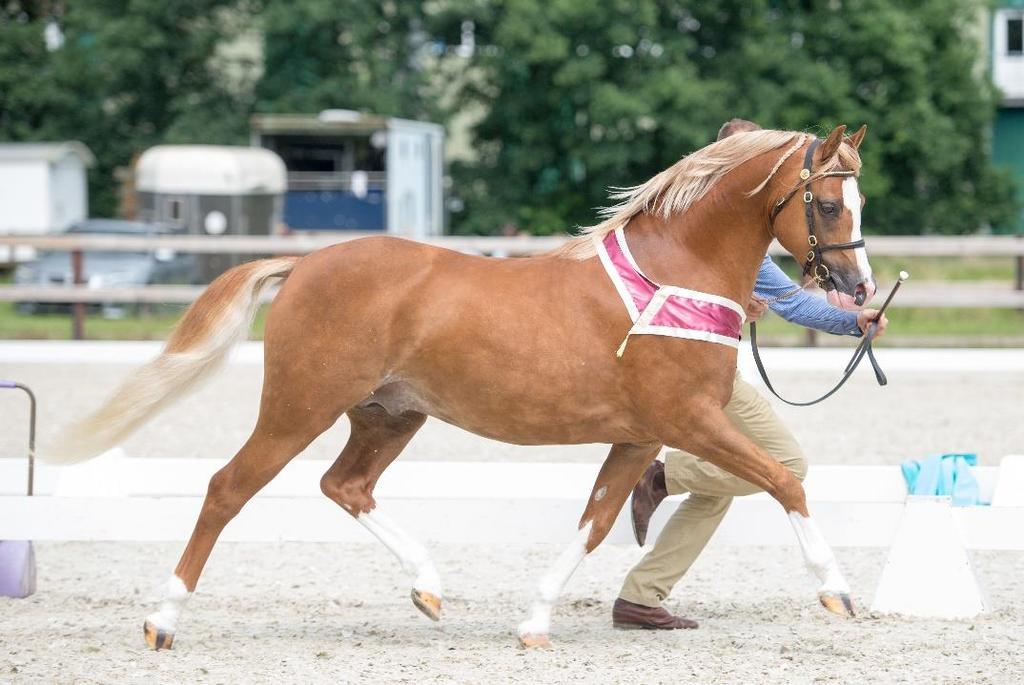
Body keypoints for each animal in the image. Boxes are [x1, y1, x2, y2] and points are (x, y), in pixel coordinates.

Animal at [54, 124, 872, 651]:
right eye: (830, 204)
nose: (861, 288)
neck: (675, 272)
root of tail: (303, 262)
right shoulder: (690, 418)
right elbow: (783, 481)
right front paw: (838, 592)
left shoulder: (640, 435)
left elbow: (597, 520)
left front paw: (534, 624)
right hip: (298, 407)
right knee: (228, 488)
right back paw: (162, 622)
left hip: (388, 415)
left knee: (345, 485)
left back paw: (428, 587)